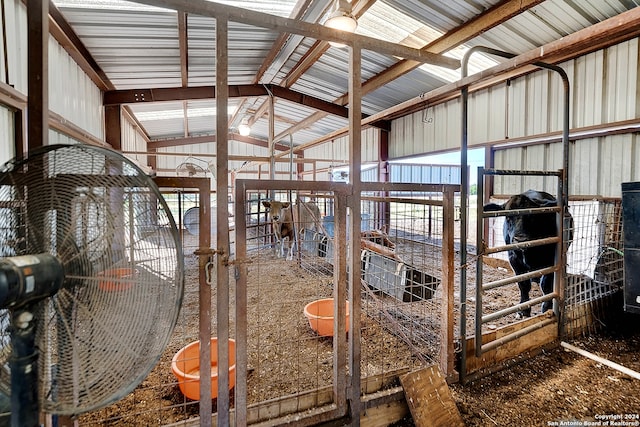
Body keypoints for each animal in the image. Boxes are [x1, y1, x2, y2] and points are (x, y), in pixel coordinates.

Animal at [484, 190, 568, 318]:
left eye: (532, 216)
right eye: (508, 217)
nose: (520, 239)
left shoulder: (551, 260)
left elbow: (546, 285)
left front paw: (547, 307)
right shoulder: (514, 259)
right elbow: (523, 284)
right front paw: (523, 309)